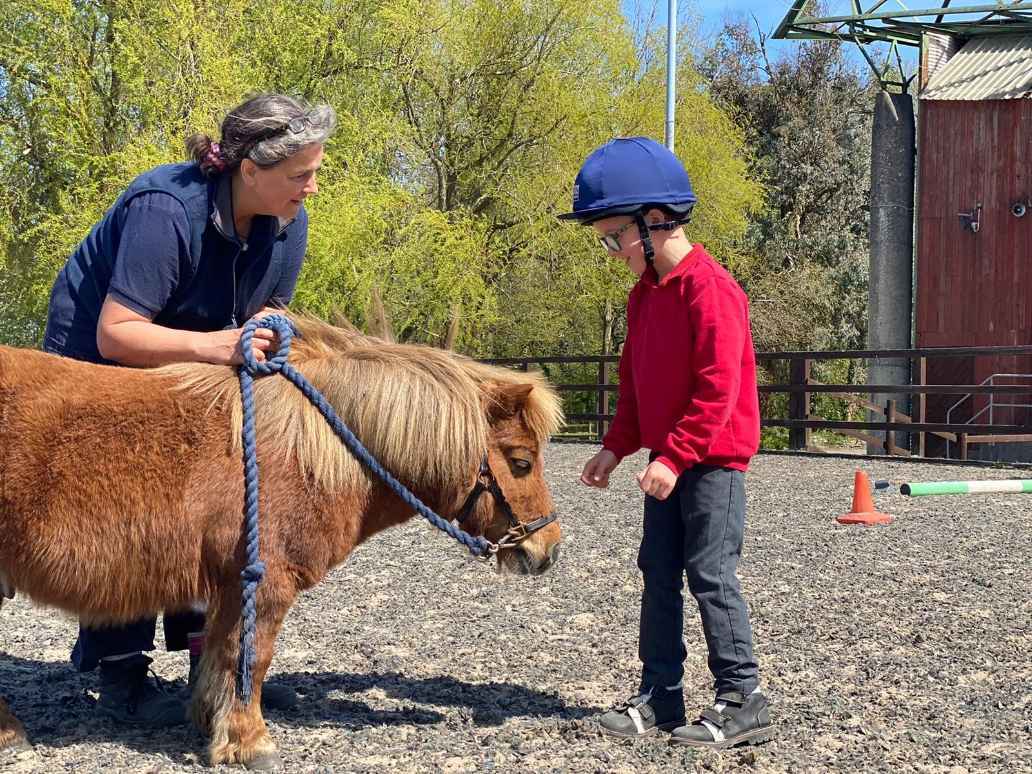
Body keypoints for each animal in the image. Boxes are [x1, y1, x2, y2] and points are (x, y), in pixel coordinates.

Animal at [0, 315, 565, 771]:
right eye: (521, 462)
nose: (548, 551)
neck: (309, 448)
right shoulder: (265, 581)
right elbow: (249, 655)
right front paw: (249, 742)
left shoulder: (234, 586)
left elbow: (222, 654)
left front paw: (211, 721)